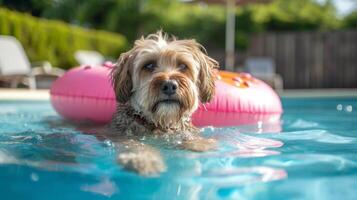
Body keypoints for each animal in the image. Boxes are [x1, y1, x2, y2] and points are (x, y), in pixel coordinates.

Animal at [107, 31, 217, 175]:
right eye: (149, 65)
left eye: (183, 66)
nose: (170, 85)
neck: (161, 124)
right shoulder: (122, 136)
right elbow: (135, 145)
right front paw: (143, 159)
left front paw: (199, 144)